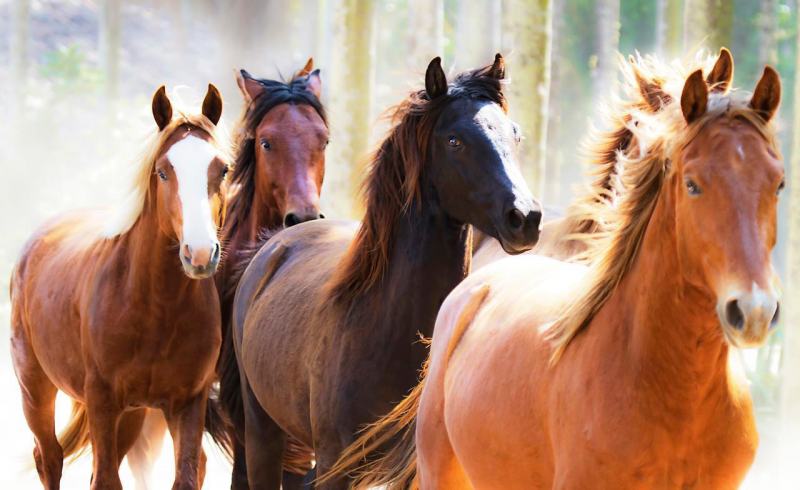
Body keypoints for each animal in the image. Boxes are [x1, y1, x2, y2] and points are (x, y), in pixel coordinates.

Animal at [11, 85, 231, 490]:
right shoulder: (102, 401)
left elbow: (184, 476)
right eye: (163, 171)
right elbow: (105, 479)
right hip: (35, 389)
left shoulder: (187, 404)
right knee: (48, 457)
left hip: (132, 415)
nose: (200, 253)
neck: (154, 306)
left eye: (222, 169)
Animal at [211, 55, 544, 488]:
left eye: (515, 135)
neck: (379, 323)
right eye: (454, 140)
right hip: (262, 431)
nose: (525, 218)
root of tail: (271, 246)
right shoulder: (333, 463)